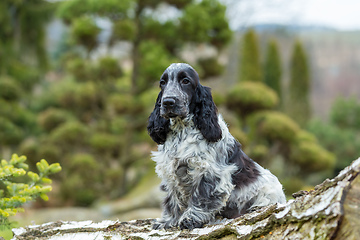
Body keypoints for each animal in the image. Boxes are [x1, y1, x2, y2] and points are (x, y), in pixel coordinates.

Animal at [148, 62, 286, 230]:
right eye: (163, 82)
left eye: (185, 81)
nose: (168, 102)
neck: (182, 130)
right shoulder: (171, 171)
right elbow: (173, 200)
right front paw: (167, 222)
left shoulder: (210, 171)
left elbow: (201, 197)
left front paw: (190, 219)